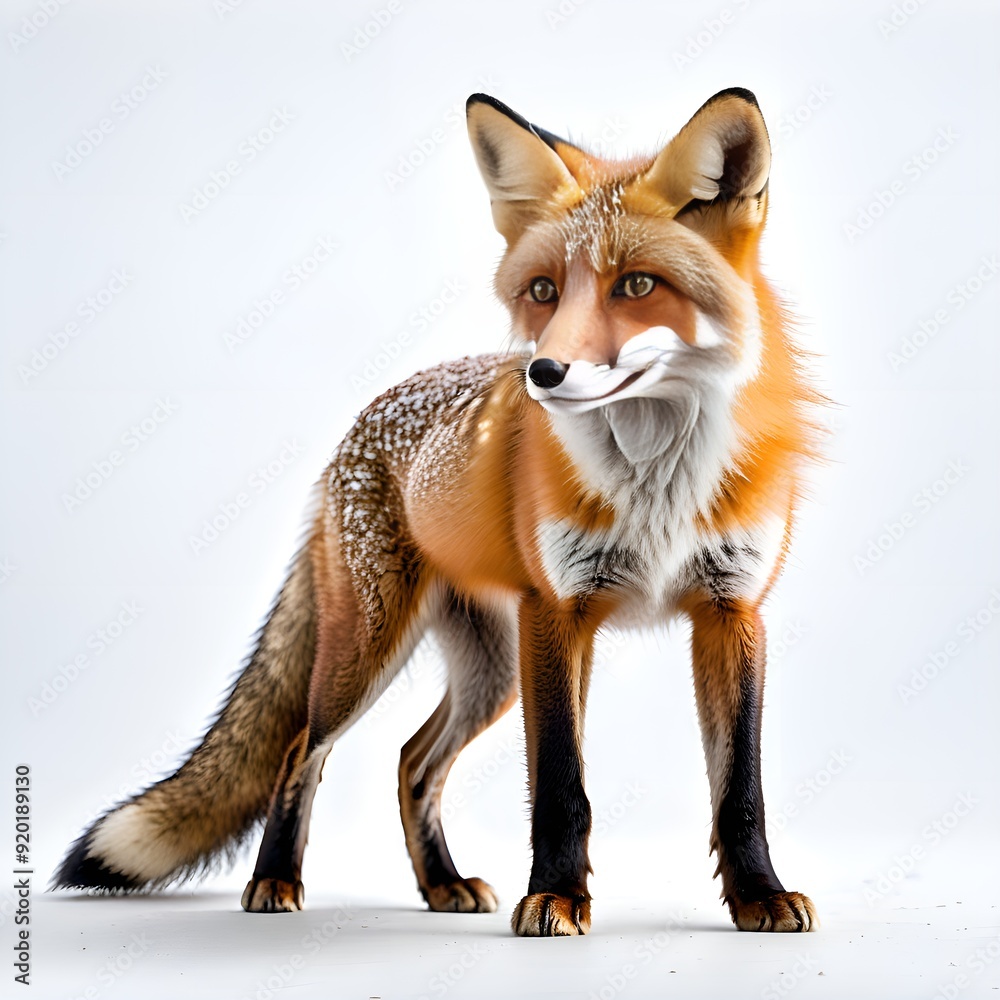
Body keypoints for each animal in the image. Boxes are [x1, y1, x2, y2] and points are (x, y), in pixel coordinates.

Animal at [55, 87, 821, 935]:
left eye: (637, 286)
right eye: (543, 291)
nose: (541, 373)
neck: (656, 485)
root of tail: (354, 433)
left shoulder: (730, 611)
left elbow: (740, 792)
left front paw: (758, 896)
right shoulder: (558, 614)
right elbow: (562, 787)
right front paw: (555, 896)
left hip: (492, 668)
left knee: (412, 762)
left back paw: (442, 885)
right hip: (370, 651)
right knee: (300, 752)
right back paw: (276, 880)